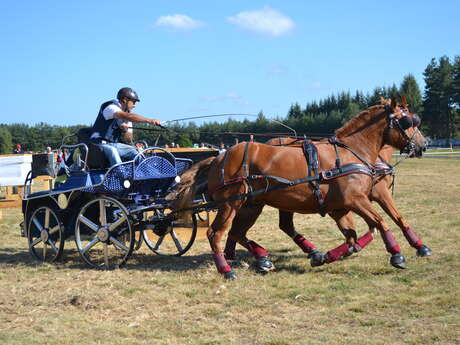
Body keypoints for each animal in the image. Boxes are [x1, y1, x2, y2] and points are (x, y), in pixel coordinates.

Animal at [170, 98, 428, 278]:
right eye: (407, 121)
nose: (423, 144)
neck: (352, 152)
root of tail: (220, 156)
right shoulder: (356, 200)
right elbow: (382, 222)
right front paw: (398, 254)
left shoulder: (342, 207)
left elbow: (356, 236)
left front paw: (325, 257)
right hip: (231, 203)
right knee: (217, 233)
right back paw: (227, 269)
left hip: (252, 204)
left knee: (239, 232)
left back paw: (263, 258)